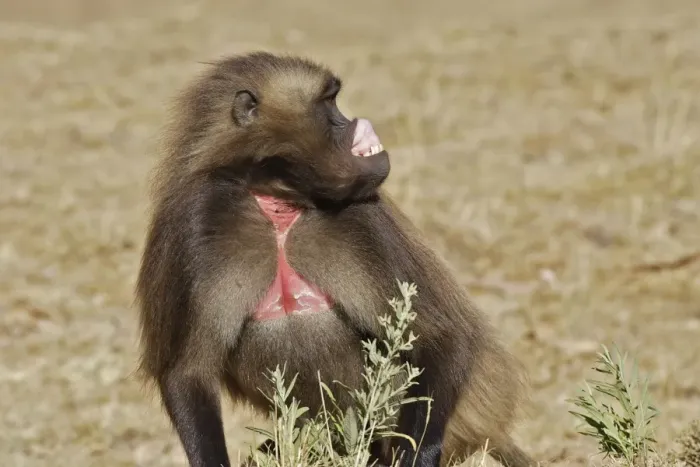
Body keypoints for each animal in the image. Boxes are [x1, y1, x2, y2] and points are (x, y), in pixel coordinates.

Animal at [135, 51, 535, 467]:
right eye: (329, 103)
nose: (355, 121)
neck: (278, 203)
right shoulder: (194, 222)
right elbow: (187, 373)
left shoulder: (362, 218)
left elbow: (440, 335)